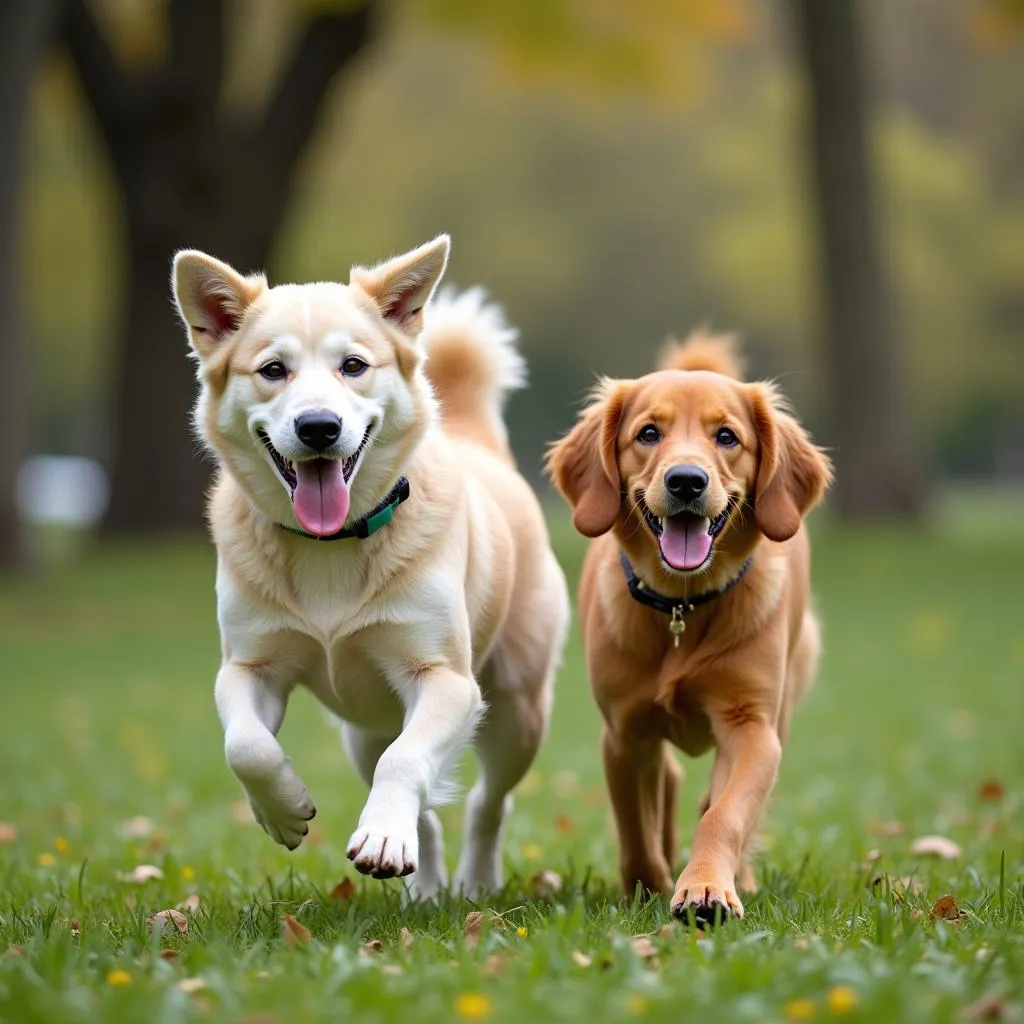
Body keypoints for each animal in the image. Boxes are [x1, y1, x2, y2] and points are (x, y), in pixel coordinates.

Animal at [168, 237, 569, 897]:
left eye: (353, 366)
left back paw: (474, 882)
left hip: (518, 713)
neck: (330, 543)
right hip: (362, 728)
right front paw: (282, 811)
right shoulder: (249, 666)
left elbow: (406, 761)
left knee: (487, 801)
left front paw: (380, 835)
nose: (318, 426)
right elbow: (246, 747)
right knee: (420, 804)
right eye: (272, 370)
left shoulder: (447, 679)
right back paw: (424, 889)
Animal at [548, 331, 827, 925]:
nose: (685, 481)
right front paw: (646, 886)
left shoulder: (752, 729)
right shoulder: (625, 732)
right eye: (648, 433)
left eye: (727, 437)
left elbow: (723, 813)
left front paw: (705, 888)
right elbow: (633, 825)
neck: (683, 605)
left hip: (784, 702)